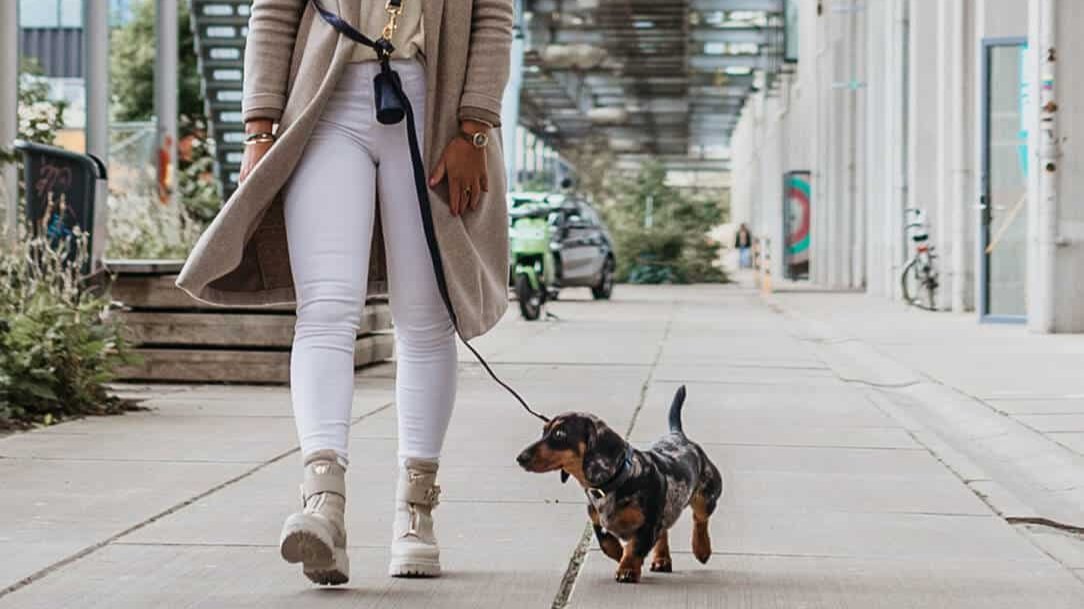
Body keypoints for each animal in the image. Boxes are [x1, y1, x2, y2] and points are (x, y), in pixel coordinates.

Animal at [513, 385, 719, 580]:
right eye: (544, 431)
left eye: (560, 434)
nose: (520, 458)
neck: (619, 480)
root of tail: (678, 435)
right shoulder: (597, 521)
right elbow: (607, 544)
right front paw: (621, 556)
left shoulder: (648, 524)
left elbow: (635, 547)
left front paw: (627, 569)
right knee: (665, 532)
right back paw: (662, 559)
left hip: (706, 498)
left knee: (700, 519)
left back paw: (701, 549)